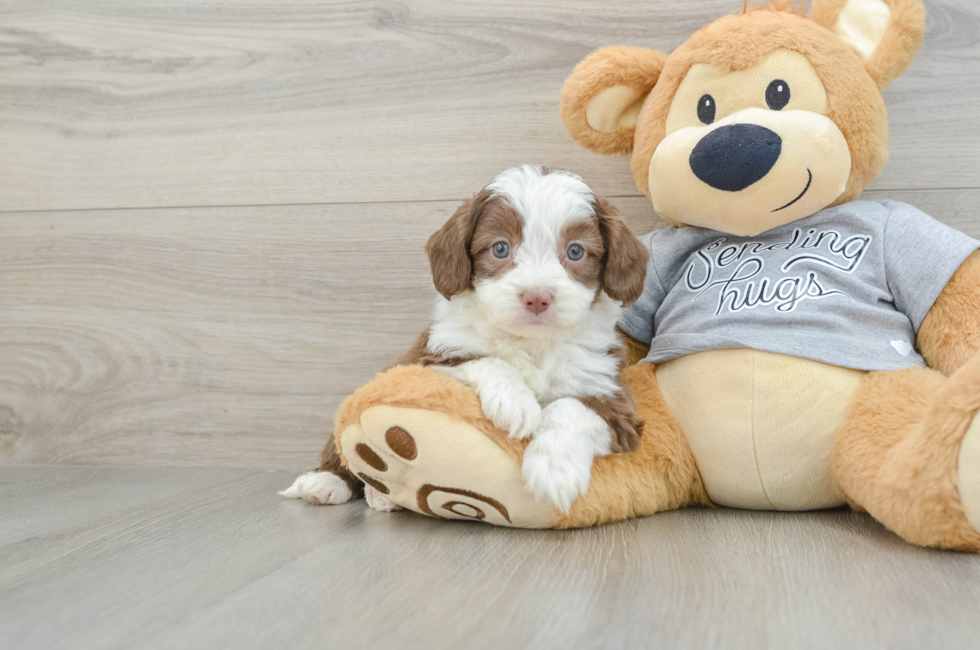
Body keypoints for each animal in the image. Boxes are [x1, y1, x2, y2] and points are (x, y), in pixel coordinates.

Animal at [284, 166, 652, 512]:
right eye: (500, 248)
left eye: (576, 252)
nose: (536, 297)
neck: (530, 342)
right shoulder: (430, 357)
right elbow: (485, 359)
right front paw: (515, 403)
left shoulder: (608, 389)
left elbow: (573, 406)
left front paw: (554, 469)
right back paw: (325, 481)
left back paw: (381, 496)